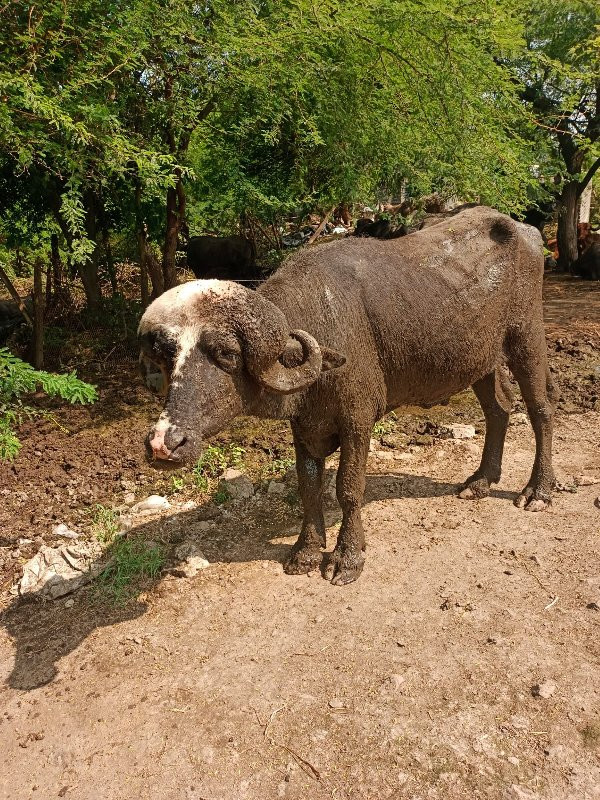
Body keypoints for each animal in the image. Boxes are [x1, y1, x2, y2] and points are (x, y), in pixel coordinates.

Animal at [141, 203, 556, 584]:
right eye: (167, 355)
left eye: (226, 353)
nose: (163, 443)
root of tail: (524, 231)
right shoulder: (305, 426)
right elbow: (308, 486)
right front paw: (307, 551)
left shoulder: (357, 420)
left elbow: (348, 488)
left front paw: (347, 557)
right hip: (482, 360)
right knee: (499, 410)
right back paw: (482, 480)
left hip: (526, 335)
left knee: (541, 410)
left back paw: (538, 490)